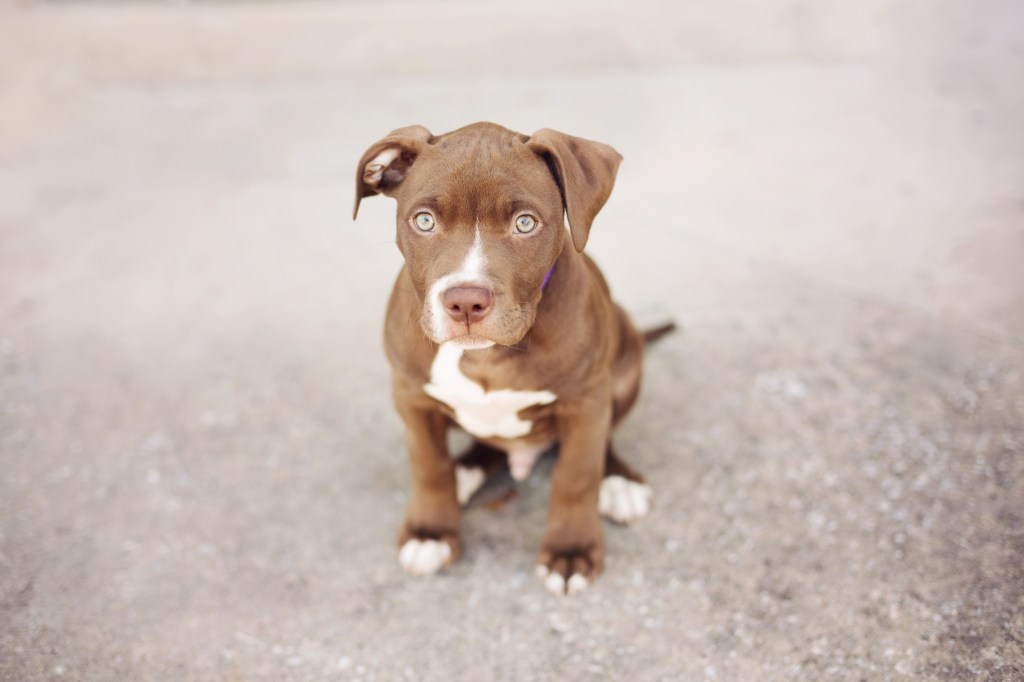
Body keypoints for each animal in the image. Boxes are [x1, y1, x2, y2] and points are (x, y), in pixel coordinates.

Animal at [352, 122, 655, 593]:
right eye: (424, 221)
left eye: (525, 223)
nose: (465, 302)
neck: (483, 357)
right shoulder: (410, 395)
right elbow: (428, 465)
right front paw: (430, 532)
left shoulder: (586, 400)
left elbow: (576, 473)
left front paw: (571, 549)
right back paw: (465, 470)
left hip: (624, 362)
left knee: (603, 438)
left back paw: (619, 481)